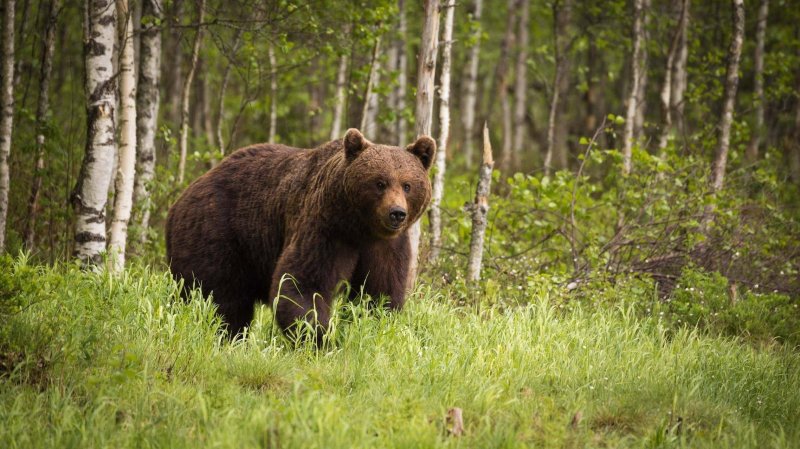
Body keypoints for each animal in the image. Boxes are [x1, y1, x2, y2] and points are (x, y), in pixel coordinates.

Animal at [165, 128, 434, 342]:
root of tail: (178, 202)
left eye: (407, 185)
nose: (396, 213)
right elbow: (302, 282)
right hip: (217, 233)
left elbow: (380, 292)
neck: (360, 227)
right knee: (219, 297)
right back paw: (227, 335)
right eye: (379, 183)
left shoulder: (385, 245)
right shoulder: (326, 228)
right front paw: (320, 337)